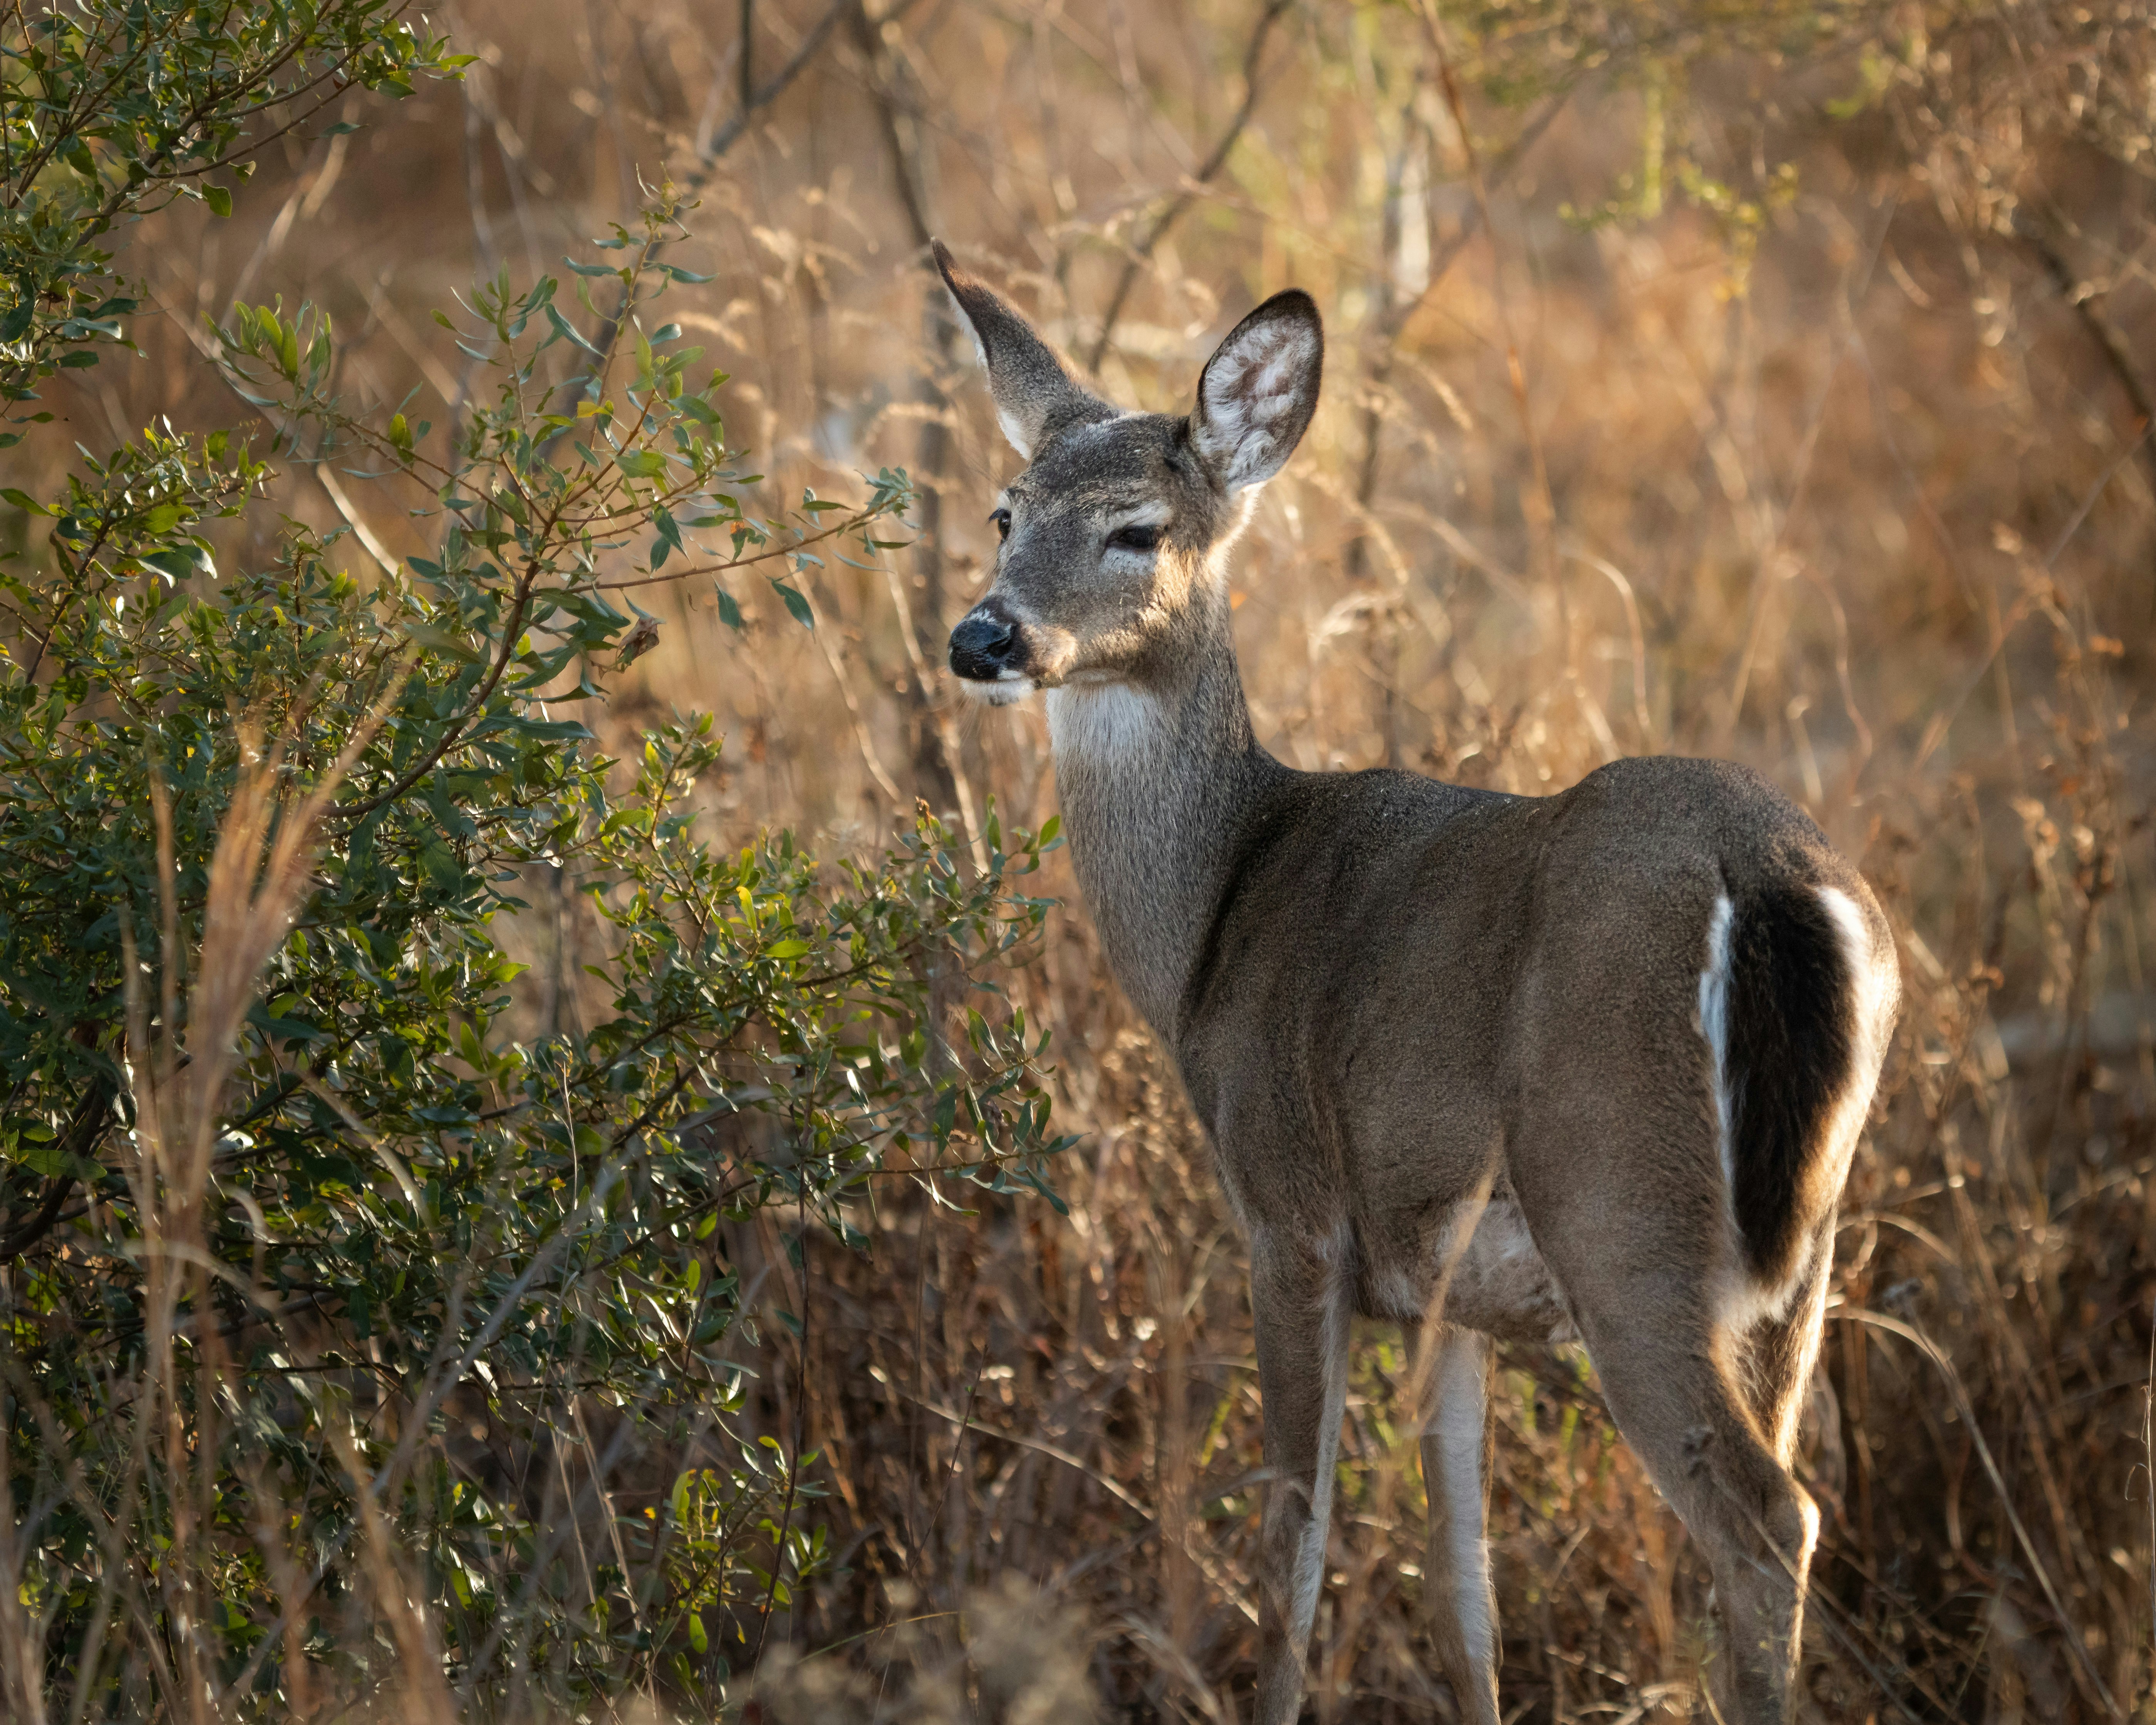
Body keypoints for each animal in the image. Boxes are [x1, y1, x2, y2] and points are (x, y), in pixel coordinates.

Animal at [928, 240, 1900, 1725]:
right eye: (1003, 510)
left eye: (1137, 529)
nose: (983, 638)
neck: (1215, 917)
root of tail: (1775, 875)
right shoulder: (1449, 1290)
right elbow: (1460, 1596)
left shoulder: (1291, 1210)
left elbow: (1291, 1551)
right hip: (1803, 1248)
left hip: (1620, 1196)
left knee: (1765, 1515)